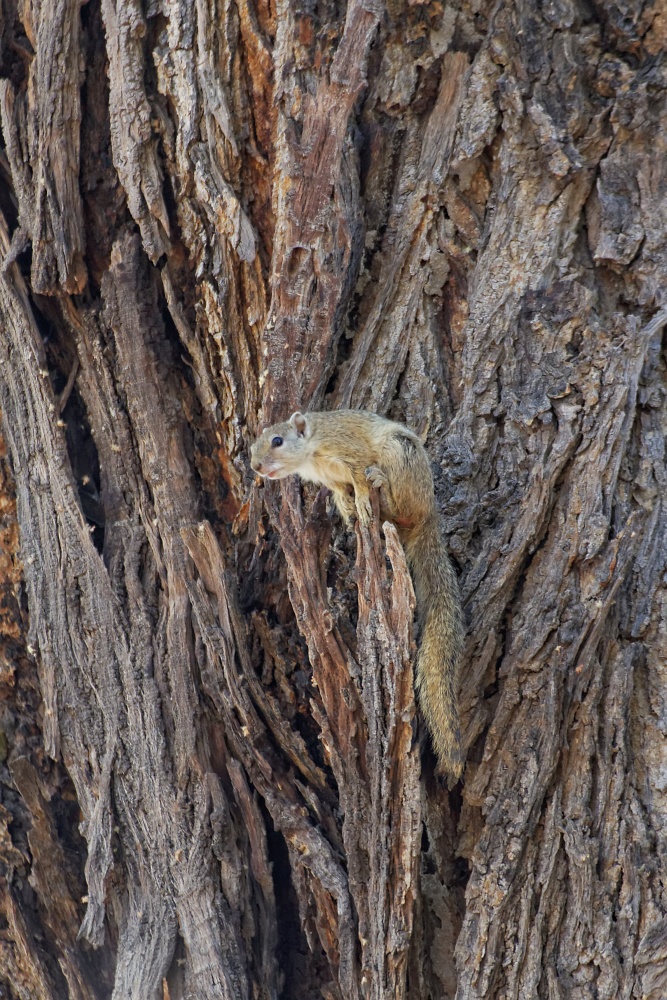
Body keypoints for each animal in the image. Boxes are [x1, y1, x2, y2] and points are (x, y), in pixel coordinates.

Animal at [250, 408, 464, 780]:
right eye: (253, 446)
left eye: (277, 440)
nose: (256, 467)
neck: (313, 452)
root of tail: (429, 515)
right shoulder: (333, 480)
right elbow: (340, 491)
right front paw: (346, 509)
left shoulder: (351, 451)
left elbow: (360, 480)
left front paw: (363, 502)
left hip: (400, 454)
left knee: (399, 505)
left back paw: (383, 490)